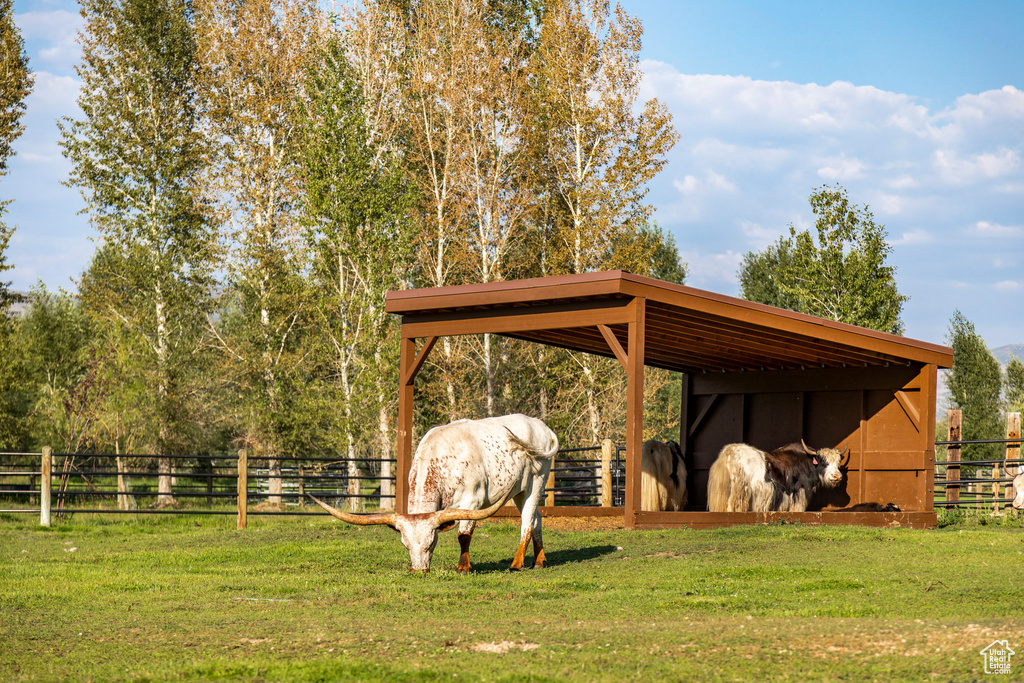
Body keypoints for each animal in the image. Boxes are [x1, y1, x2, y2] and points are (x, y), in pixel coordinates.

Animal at [307, 413, 557, 573]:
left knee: (526, 521)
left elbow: (463, 535)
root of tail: (541, 425)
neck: (441, 462)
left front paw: (463, 567)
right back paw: (539, 560)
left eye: (430, 543)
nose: (418, 571)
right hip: (520, 490)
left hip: (537, 481)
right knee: (536, 519)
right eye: (405, 545)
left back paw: (517, 564)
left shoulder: (472, 502)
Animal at [708, 440, 843, 509]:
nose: (837, 476)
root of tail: (729, 453)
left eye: (838, 462)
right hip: (740, 492)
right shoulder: (798, 493)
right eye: (824, 462)